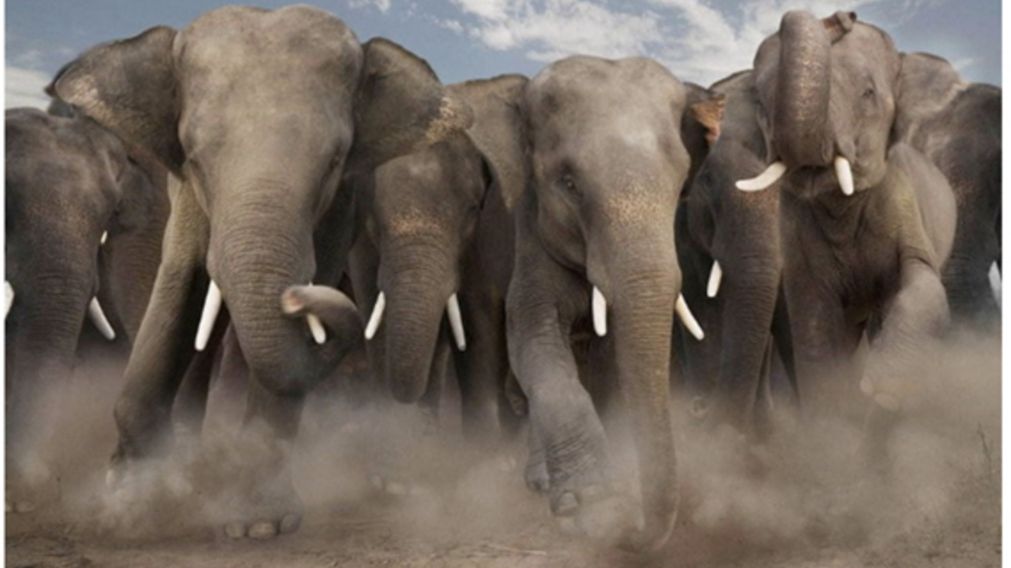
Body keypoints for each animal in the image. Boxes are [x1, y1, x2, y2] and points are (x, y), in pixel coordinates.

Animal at [48, 6, 470, 538]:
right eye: (194, 156)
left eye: (334, 162)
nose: (294, 298)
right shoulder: (185, 193)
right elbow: (181, 281)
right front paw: (128, 498)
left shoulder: (342, 205)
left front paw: (259, 525)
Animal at [505, 55, 722, 550]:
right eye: (568, 183)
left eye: (679, 182)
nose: (629, 535)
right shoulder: (529, 241)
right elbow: (533, 338)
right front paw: (592, 505)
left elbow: (607, 358)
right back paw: (540, 481)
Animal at [736, 11, 956, 431]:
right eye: (762, 103)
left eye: (868, 93)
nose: (841, 17)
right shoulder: (797, 231)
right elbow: (813, 321)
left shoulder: (902, 197)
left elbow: (924, 282)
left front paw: (882, 388)